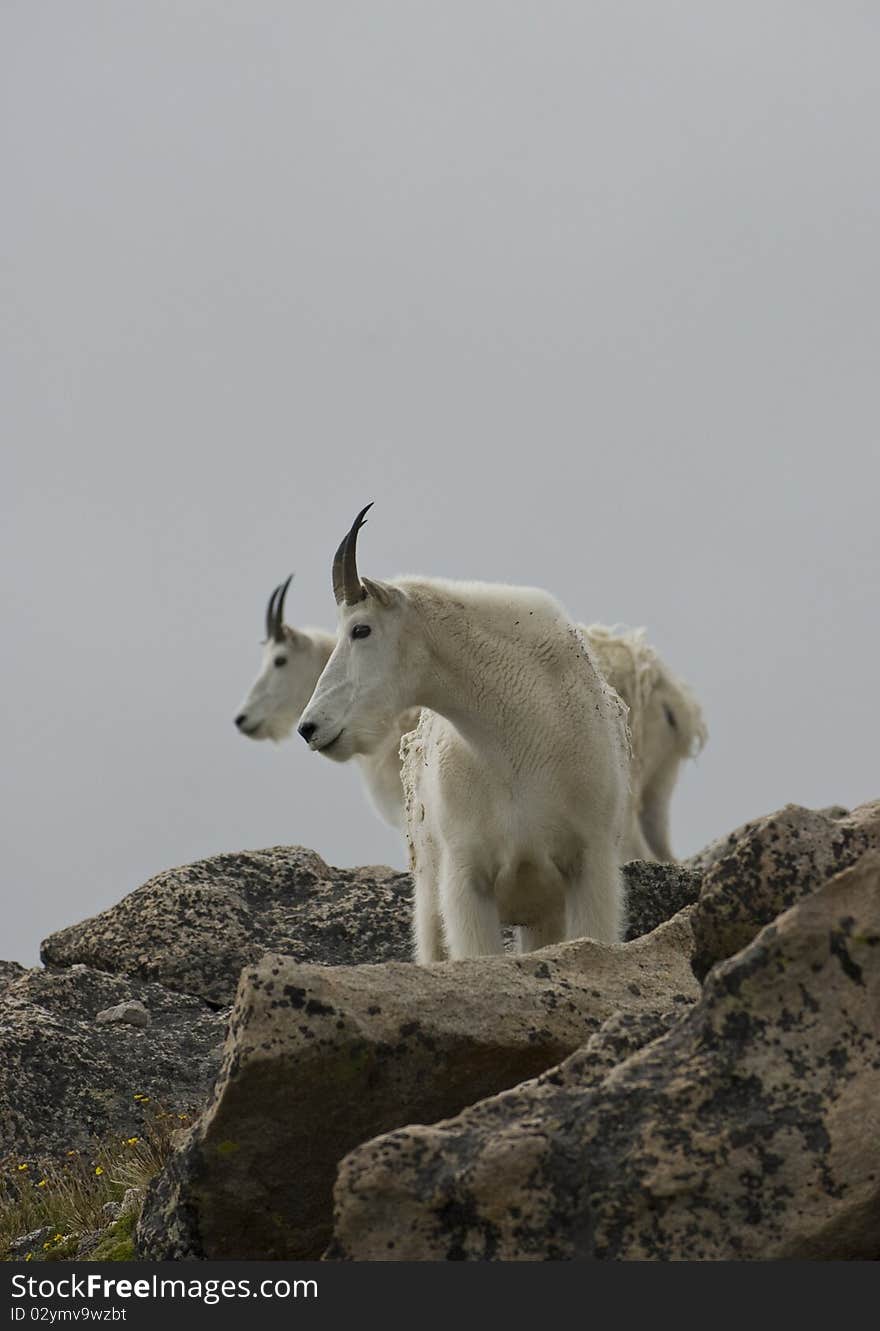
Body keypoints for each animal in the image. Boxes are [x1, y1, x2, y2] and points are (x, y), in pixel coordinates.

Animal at [296, 505, 631, 958]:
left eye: (361, 629)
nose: (309, 727)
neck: (513, 741)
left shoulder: (590, 865)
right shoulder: (466, 877)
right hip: (427, 888)